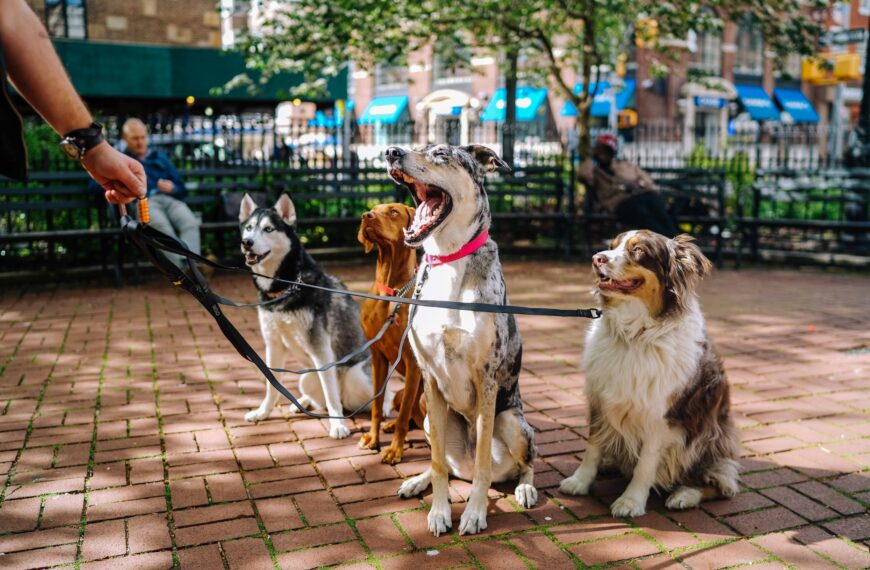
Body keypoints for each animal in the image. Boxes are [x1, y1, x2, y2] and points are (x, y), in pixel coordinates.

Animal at [238, 193, 378, 438]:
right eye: (248, 228)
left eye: (268, 229)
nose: (247, 242)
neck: (287, 286)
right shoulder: (273, 344)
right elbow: (271, 385)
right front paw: (263, 412)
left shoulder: (321, 348)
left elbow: (330, 393)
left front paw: (338, 425)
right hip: (306, 377)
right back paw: (302, 402)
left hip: (356, 377)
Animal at [358, 203, 426, 462]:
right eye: (372, 209)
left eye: (393, 211)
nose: (365, 216)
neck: (391, 292)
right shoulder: (377, 356)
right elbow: (377, 406)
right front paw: (373, 438)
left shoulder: (413, 362)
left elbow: (404, 415)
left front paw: (395, 450)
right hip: (398, 393)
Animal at [386, 144, 540, 536]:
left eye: (441, 153)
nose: (391, 151)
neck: (448, 260)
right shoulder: (429, 377)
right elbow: (438, 463)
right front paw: (440, 512)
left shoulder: (486, 378)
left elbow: (484, 461)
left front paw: (474, 513)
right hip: (429, 419)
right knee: (446, 463)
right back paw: (417, 481)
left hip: (513, 423)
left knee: (526, 462)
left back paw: (525, 488)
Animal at [560, 230, 744, 516]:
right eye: (612, 246)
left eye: (638, 251)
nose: (596, 258)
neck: (634, 335)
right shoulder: (600, 399)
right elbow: (593, 446)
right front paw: (580, 481)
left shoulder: (661, 418)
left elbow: (645, 465)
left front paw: (631, 500)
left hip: (709, 437)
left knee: (723, 483)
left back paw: (685, 495)